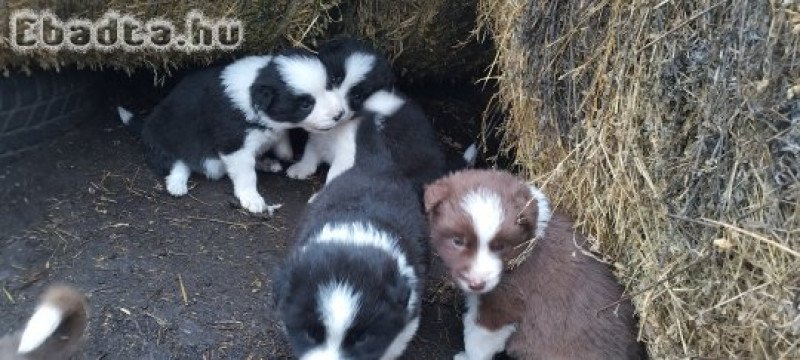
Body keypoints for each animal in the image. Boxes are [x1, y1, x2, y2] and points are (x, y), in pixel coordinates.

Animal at [117, 50, 342, 214]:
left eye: (330, 85)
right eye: (305, 105)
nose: (339, 114)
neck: (254, 86)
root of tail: (145, 126)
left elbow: (279, 137)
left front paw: (283, 151)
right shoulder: (233, 144)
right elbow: (246, 174)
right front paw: (252, 199)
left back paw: (266, 162)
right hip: (166, 140)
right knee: (179, 163)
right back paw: (177, 184)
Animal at [284, 38, 394, 186]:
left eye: (357, 96)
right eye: (333, 79)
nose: (338, 113)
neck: (336, 130)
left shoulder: (347, 155)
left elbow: (335, 174)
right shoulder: (319, 137)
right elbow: (310, 152)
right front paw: (302, 168)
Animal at [424, 169, 644, 360]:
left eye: (501, 246)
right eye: (457, 241)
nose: (476, 284)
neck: (526, 248)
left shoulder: (503, 306)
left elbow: (478, 340)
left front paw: (465, 356)